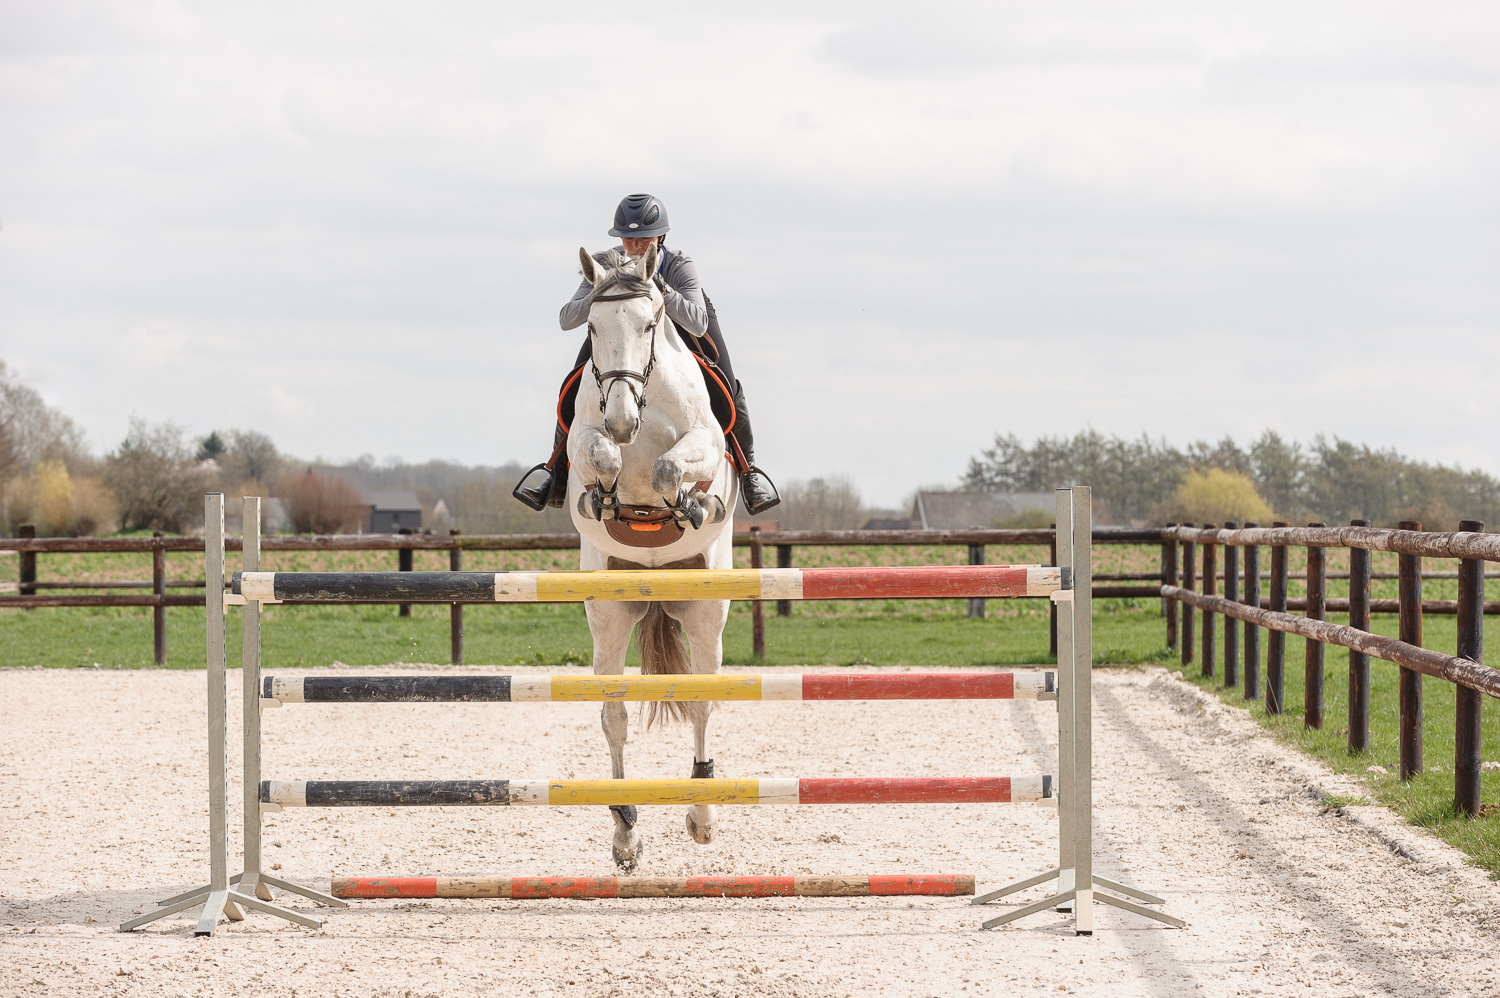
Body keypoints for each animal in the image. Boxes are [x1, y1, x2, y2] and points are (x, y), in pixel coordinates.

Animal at [564, 244, 738, 870]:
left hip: (706, 610)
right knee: (613, 714)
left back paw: (703, 816)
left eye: (648, 324)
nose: (621, 420)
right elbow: (601, 458)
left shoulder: (704, 442)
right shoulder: (586, 438)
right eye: (592, 326)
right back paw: (625, 831)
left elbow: (669, 466)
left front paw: (691, 502)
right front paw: (603, 494)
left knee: (704, 703)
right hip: (609, 612)